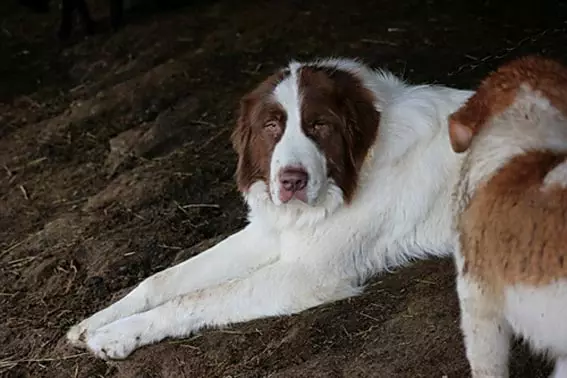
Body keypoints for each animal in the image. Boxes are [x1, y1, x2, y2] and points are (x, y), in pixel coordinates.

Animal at [66, 56, 474, 360]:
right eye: (271, 126)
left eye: (320, 125)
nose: (292, 181)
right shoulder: (268, 232)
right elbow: (162, 279)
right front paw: (95, 321)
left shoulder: (308, 274)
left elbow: (196, 297)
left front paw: (117, 334)